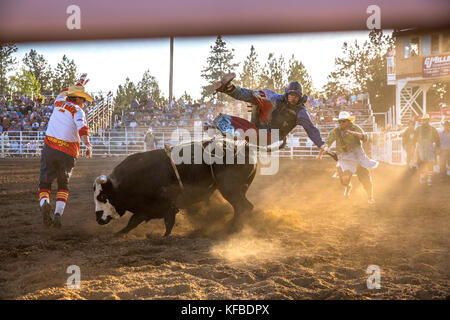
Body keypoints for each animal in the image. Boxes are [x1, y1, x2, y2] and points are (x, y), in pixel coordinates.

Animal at [94, 140, 256, 235]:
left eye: (102, 196)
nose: (98, 219)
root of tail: (244, 147)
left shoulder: (160, 204)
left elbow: (138, 221)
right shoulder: (151, 208)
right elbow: (135, 222)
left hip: (230, 189)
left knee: (242, 207)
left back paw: (232, 228)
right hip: (239, 189)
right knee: (246, 207)